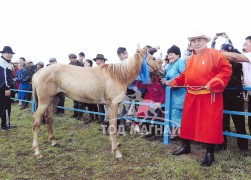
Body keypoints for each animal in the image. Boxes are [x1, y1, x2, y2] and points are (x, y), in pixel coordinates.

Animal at [31, 46, 164, 159]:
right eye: (153, 58)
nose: (162, 73)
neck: (118, 76)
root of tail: (38, 72)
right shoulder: (113, 105)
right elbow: (113, 127)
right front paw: (117, 153)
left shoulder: (109, 106)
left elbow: (110, 125)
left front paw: (113, 147)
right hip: (44, 102)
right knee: (36, 122)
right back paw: (37, 152)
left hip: (54, 100)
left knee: (49, 119)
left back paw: (54, 142)